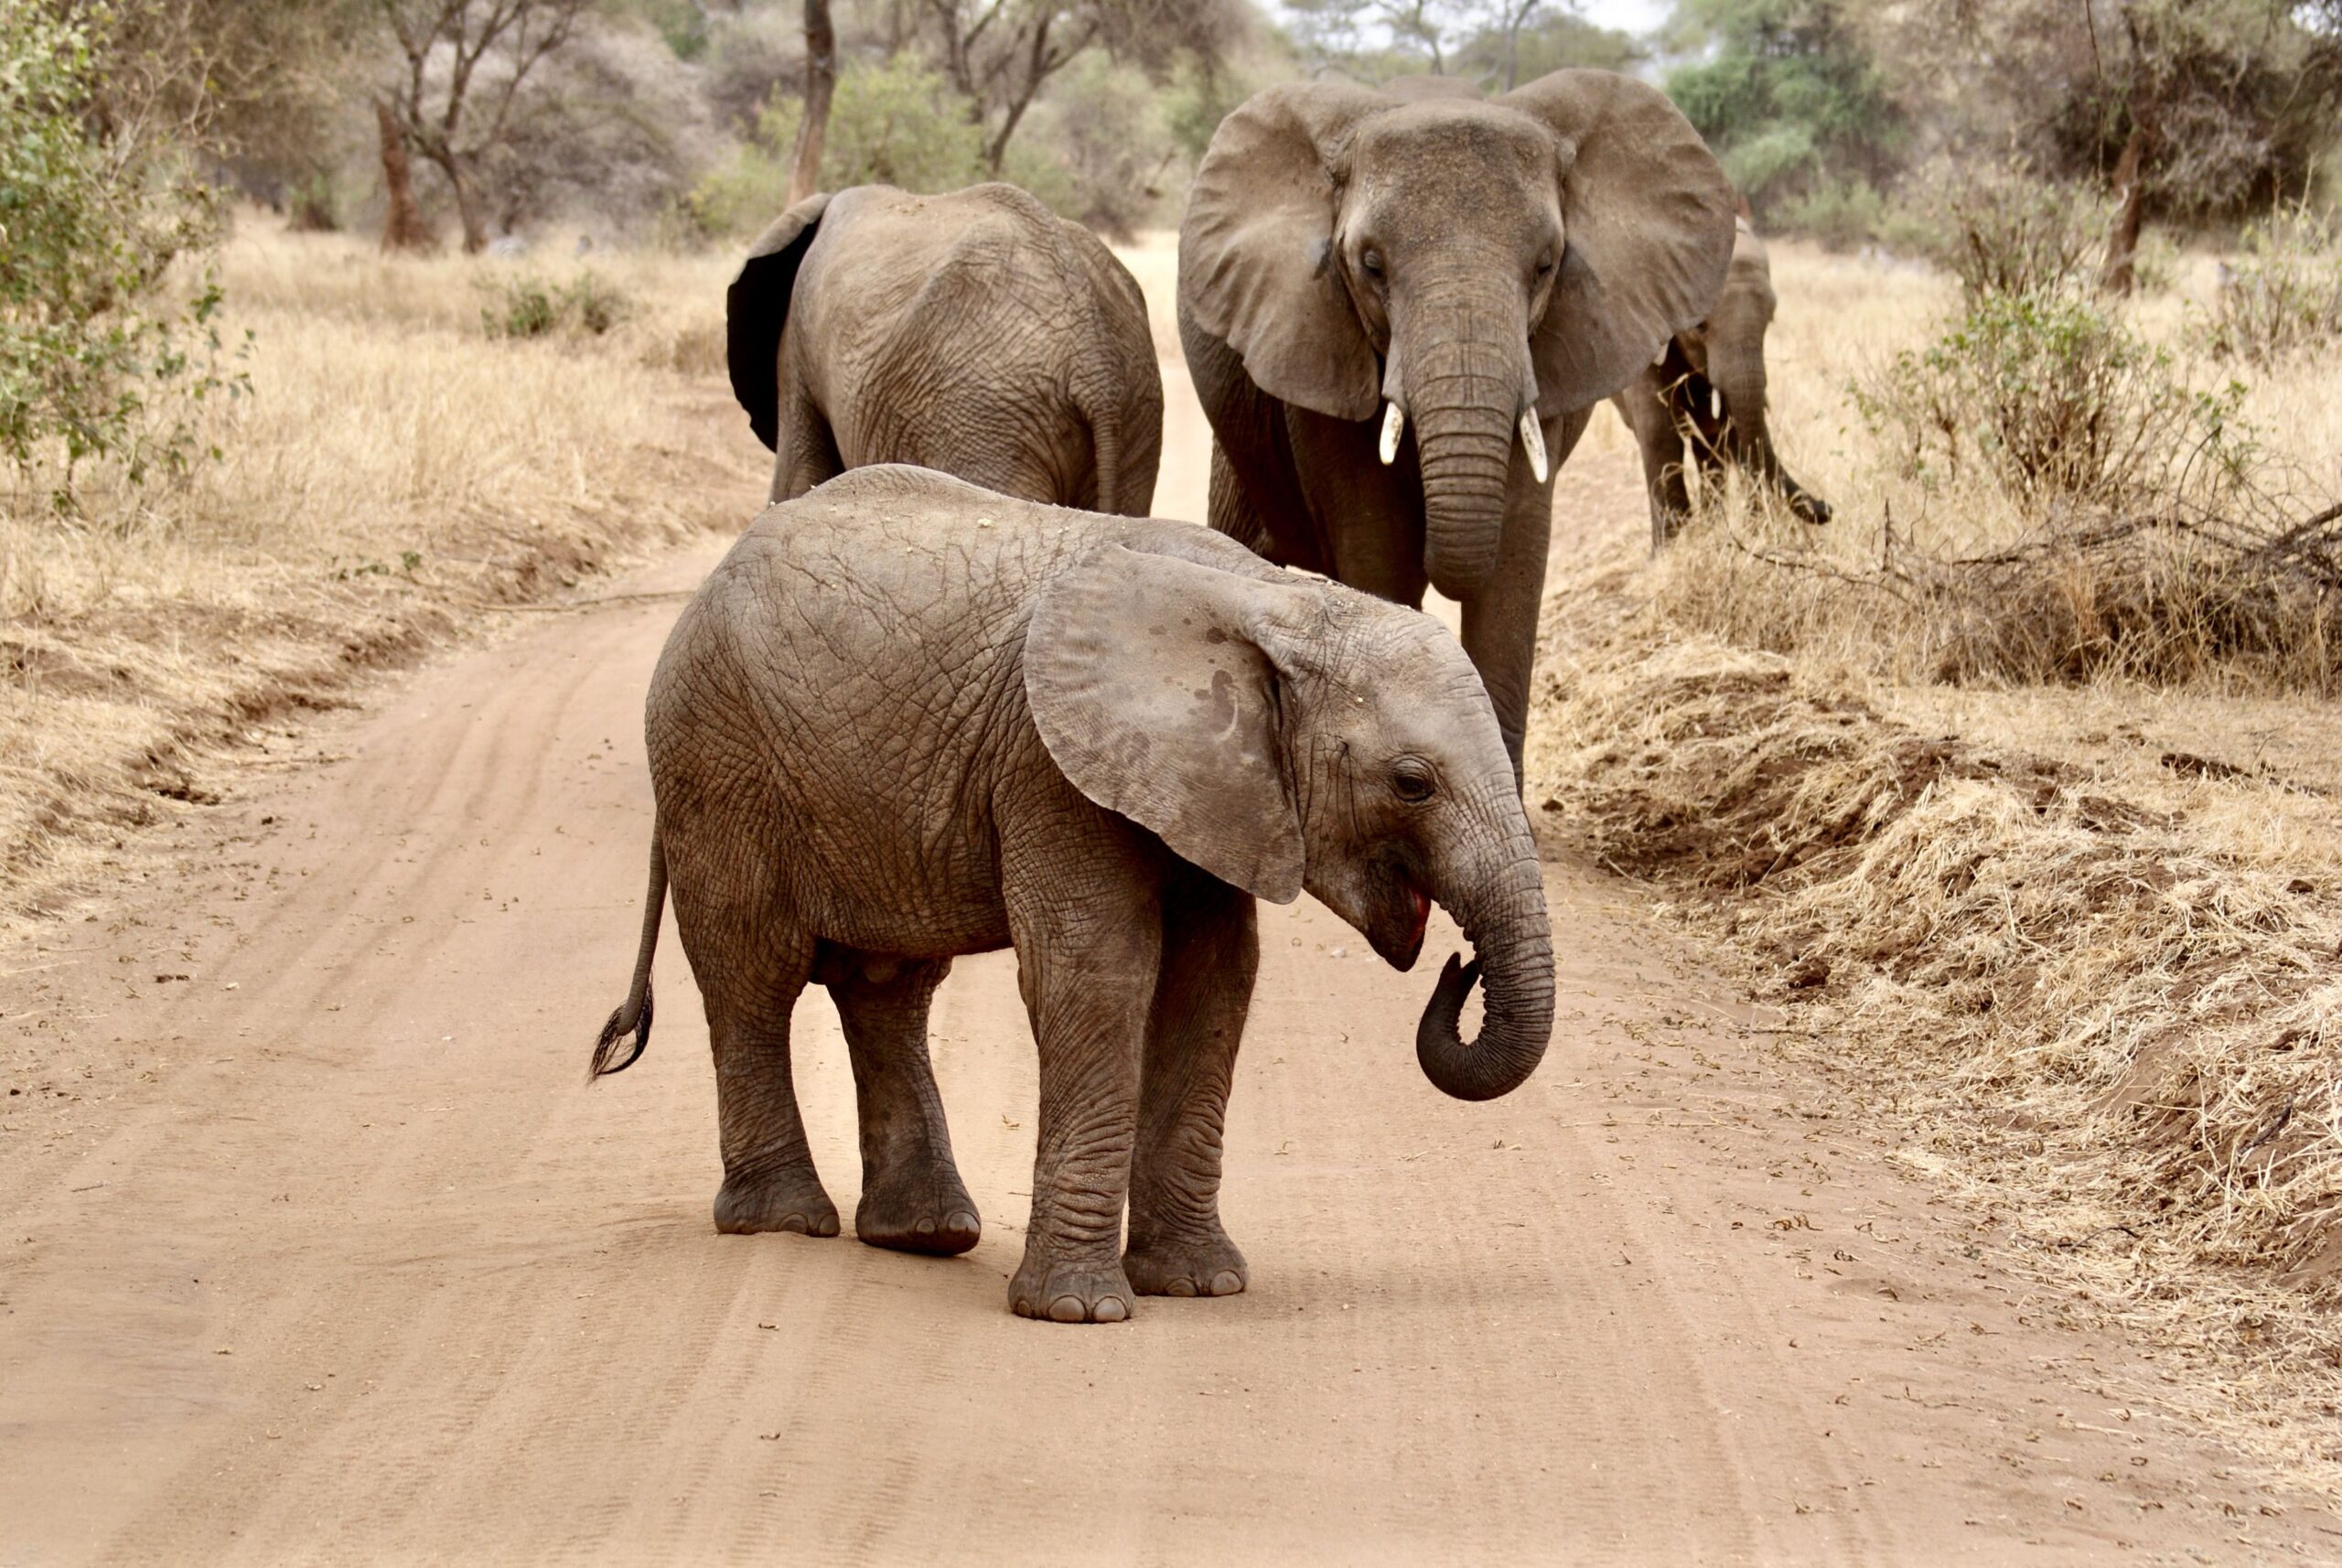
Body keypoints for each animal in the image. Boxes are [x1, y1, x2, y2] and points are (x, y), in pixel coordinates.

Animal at [589, 465, 1554, 1325]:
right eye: (1411, 783)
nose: (1460, 966)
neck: (1273, 601)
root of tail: (706, 586)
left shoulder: (1218, 792)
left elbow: (1214, 984)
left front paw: (1200, 1287)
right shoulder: (1051, 767)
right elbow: (1099, 974)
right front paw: (1079, 1312)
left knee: (888, 988)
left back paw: (927, 1234)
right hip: (717, 763)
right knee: (753, 976)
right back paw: (785, 1221)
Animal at [1611, 216, 1832, 550]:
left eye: (1770, 320)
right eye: (1700, 326)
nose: (1828, 507)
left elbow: (1735, 426)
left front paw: (1757, 535)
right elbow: (1658, 429)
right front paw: (1668, 552)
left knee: (1711, 440)